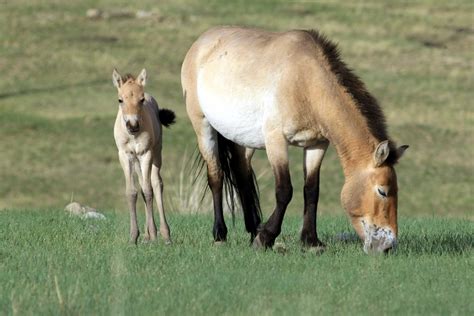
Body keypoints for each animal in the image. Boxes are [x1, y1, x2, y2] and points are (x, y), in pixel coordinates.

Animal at [113, 68, 176, 244]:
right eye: (120, 100)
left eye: (141, 100)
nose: (133, 125)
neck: (133, 135)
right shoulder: (125, 156)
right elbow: (132, 192)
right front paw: (134, 237)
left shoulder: (146, 154)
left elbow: (148, 191)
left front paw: (154, 235)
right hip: (136, 162)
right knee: (142, 184)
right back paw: (147, 236)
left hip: (156, 154)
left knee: (156, 184)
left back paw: (164, 234)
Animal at [181, 27, 408, 254]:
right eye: (382, 191)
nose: (388, 247)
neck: (305, 82)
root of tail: (200, 42)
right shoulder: (276, 142)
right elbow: (284, 191)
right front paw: (266, 238)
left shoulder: (317, 145)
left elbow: (311, 190)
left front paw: (310, 240)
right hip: (203, 126)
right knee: (216, 176)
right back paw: (220, 234)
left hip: (242, 139)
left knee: (242, 175)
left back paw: (253, 229)